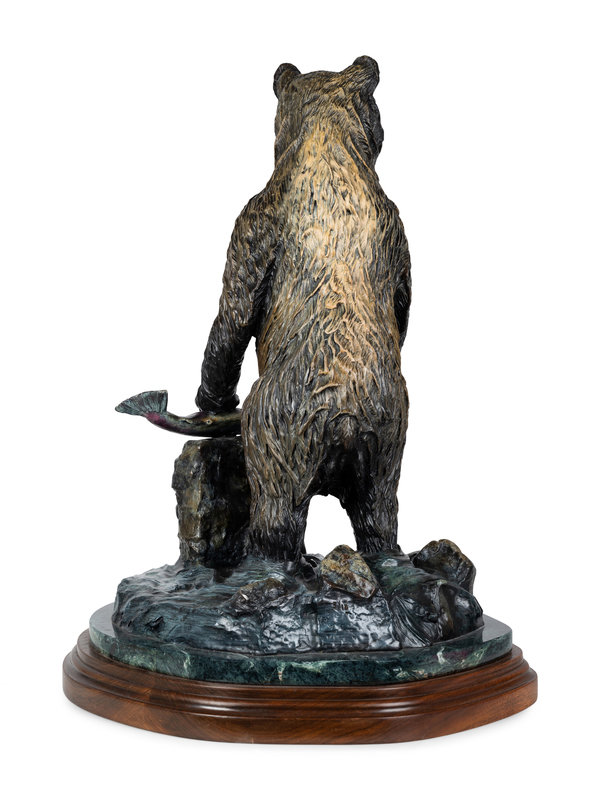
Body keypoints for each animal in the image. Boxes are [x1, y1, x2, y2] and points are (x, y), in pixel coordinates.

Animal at [195, 57, 411, 564]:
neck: (327, 144)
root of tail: (344, 418)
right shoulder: (396, 227)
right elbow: (404, 301)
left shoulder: (254, 221)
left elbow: (233, 315)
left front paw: (211, 400)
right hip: (388, 437)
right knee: (379, 512)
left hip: (280, 429)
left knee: (277, 512)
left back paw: (258, 555)